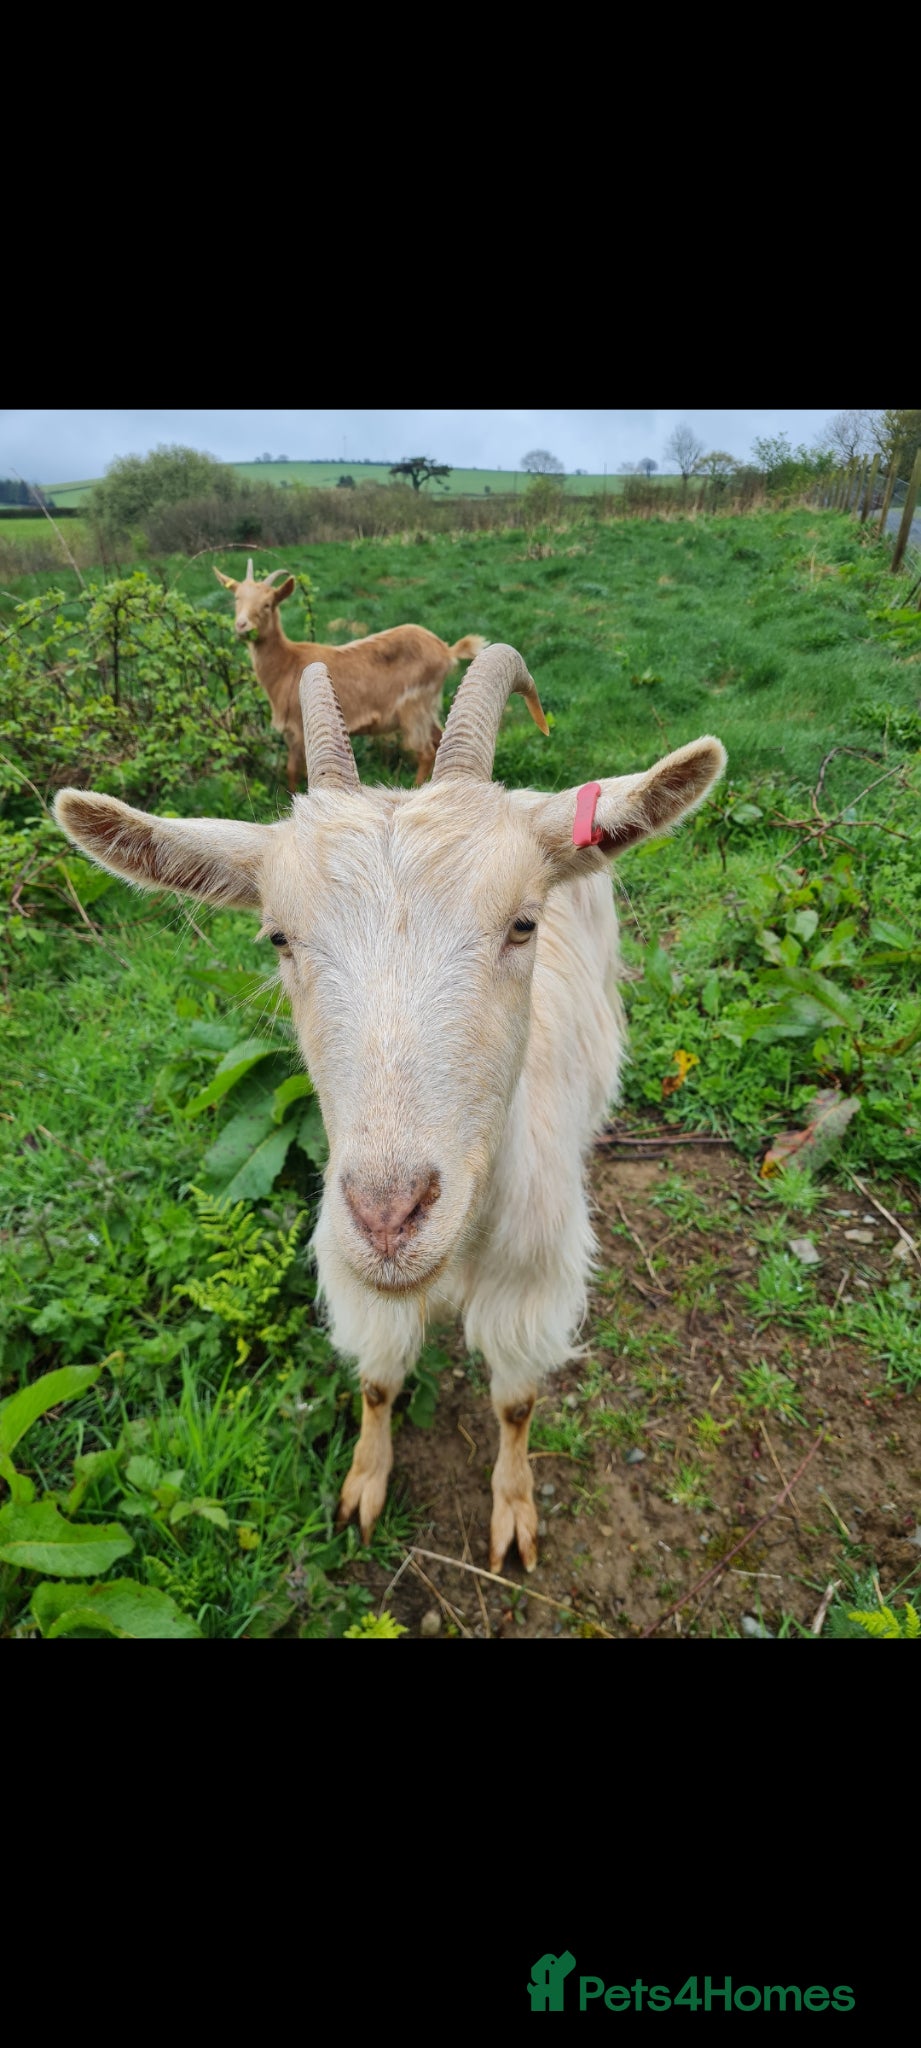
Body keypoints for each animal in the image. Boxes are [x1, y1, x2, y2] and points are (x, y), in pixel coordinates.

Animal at [54, 646, 726, 1575]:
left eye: (524, 923)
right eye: (278, 937)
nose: (387, 1216)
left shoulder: (533, 1285)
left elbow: (515, 1404)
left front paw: (513, 1513)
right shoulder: (356, 1280)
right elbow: (376, 1379)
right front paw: (362, 1488)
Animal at [215, 560, 485, 790]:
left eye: (268, 604)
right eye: (237, 598)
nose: (242, 626)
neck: (287, 663)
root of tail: (446, 650)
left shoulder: (298, 729)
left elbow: (294, 770)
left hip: (414, 706)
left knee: (425, 752)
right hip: (427, 707)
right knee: (440, 740)